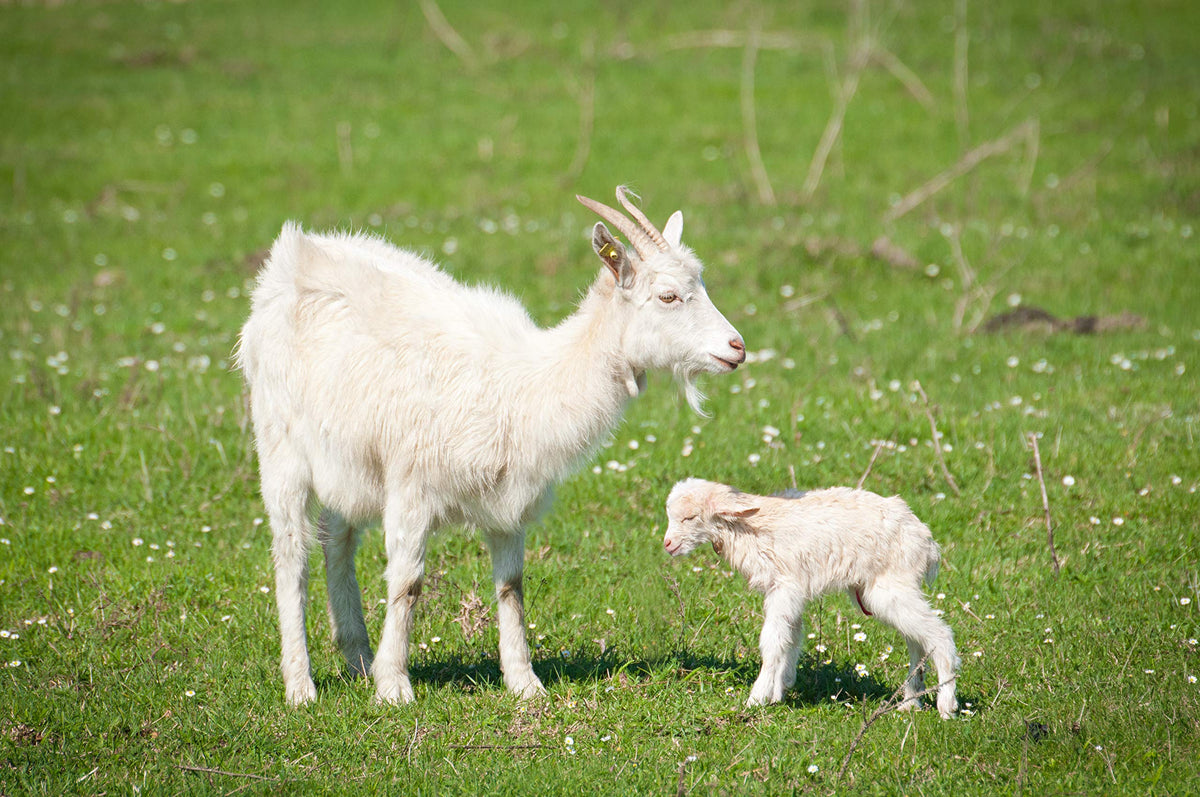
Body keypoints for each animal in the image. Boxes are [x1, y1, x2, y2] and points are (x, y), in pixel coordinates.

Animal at [237, 188, 745, 706]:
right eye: (668, 296)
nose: (737, 347)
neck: (524, 383)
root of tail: (292, 255)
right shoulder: (412, 488)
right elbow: (407, 584)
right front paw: (394, 686)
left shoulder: (509, 501)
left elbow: (512, 587)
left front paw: (524, 683)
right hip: (280, 445)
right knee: (291, 554)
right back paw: (301, 685)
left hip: (351, 459)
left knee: (336, 538)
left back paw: (358, 658)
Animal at [663, 479, 959, 718]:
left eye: (690, 518)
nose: (667, 544)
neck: (747, 528)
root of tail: (927, 542)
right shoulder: (791, 590)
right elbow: (791, 638)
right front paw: (780, 689)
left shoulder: (785, 586)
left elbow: (772, 640)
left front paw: (757, 698)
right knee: (917, 639)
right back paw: (910, 703)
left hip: (891, 586)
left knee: (938, 633)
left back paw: (946, 705)